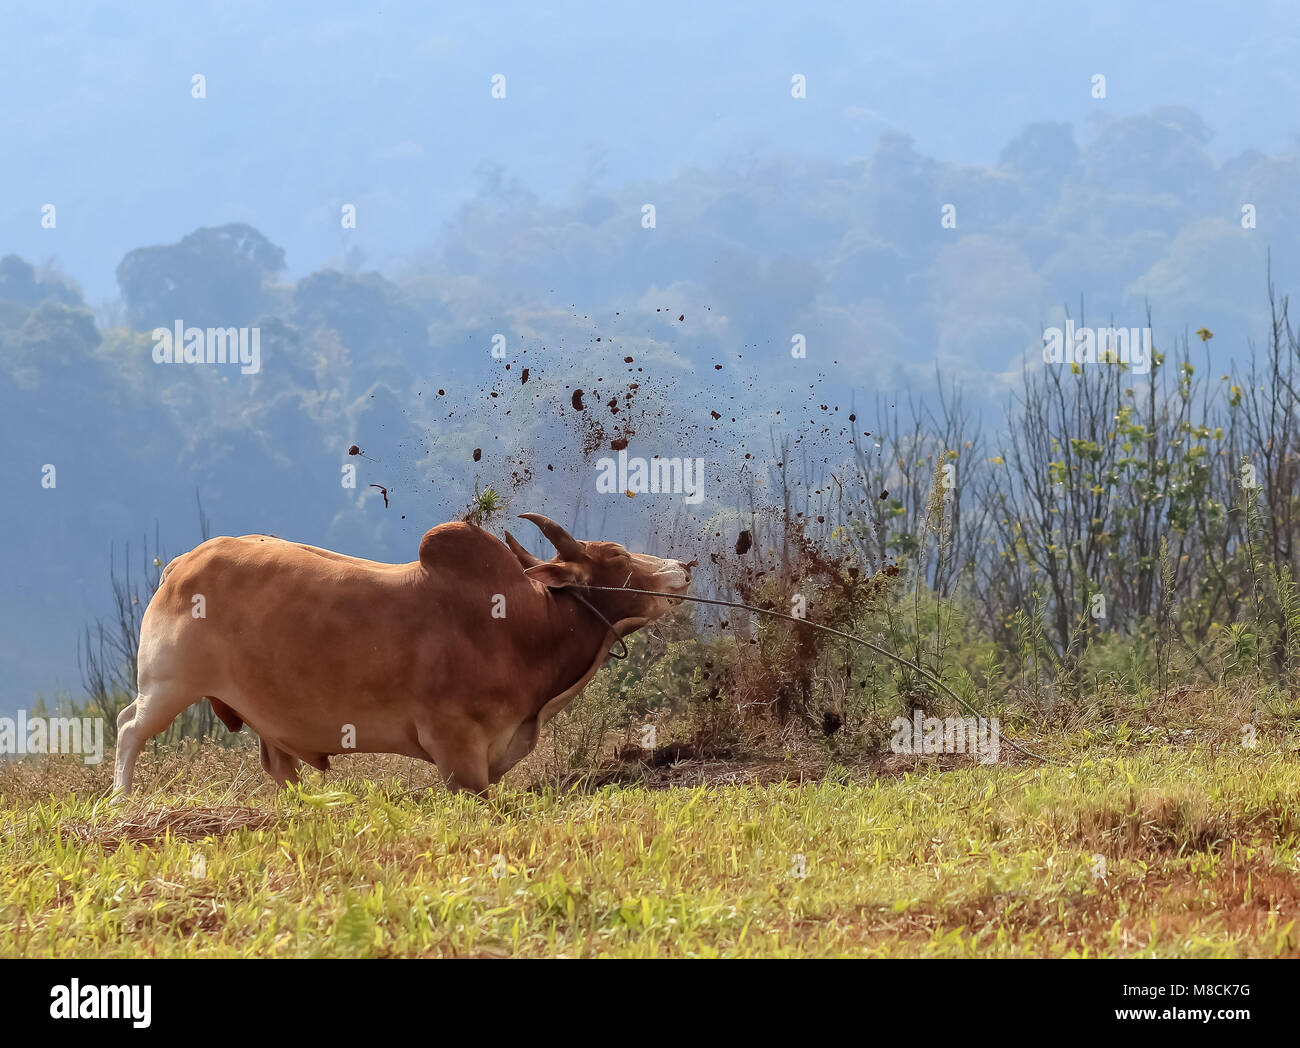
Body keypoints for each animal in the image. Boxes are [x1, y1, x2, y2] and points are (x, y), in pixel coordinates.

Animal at [111, 513, 691, 798]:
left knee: (278, 765)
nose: (684, 567)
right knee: (127, 728)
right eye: (616, 554)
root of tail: (181, 564)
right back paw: (123, 803)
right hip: (168, 685)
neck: (522, 625)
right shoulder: (457, 752)